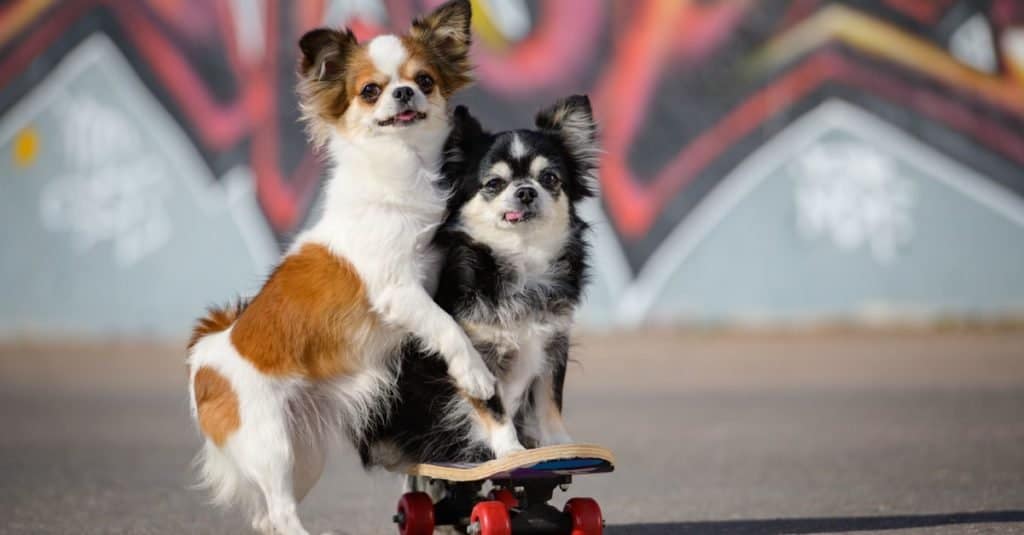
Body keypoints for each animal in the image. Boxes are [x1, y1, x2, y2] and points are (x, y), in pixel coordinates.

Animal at [189, 2, 499, 528]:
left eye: (425, 79)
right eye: (369, 90)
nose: (403, 92)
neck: (402, 170)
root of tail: (206, 359)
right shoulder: (398, 290)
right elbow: (445, 326)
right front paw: (474, 372)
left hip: (305, 453)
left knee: (270, 517)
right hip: (270, 444)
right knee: (282, 515)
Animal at [360, 96, 598, 467]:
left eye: (549, 178)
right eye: (494, 184)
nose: (526, 192)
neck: (522, 259)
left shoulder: (553, 344)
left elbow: (549, 402)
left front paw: (560, 446)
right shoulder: (477, 357)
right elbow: (493, 408)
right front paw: (511, 451)